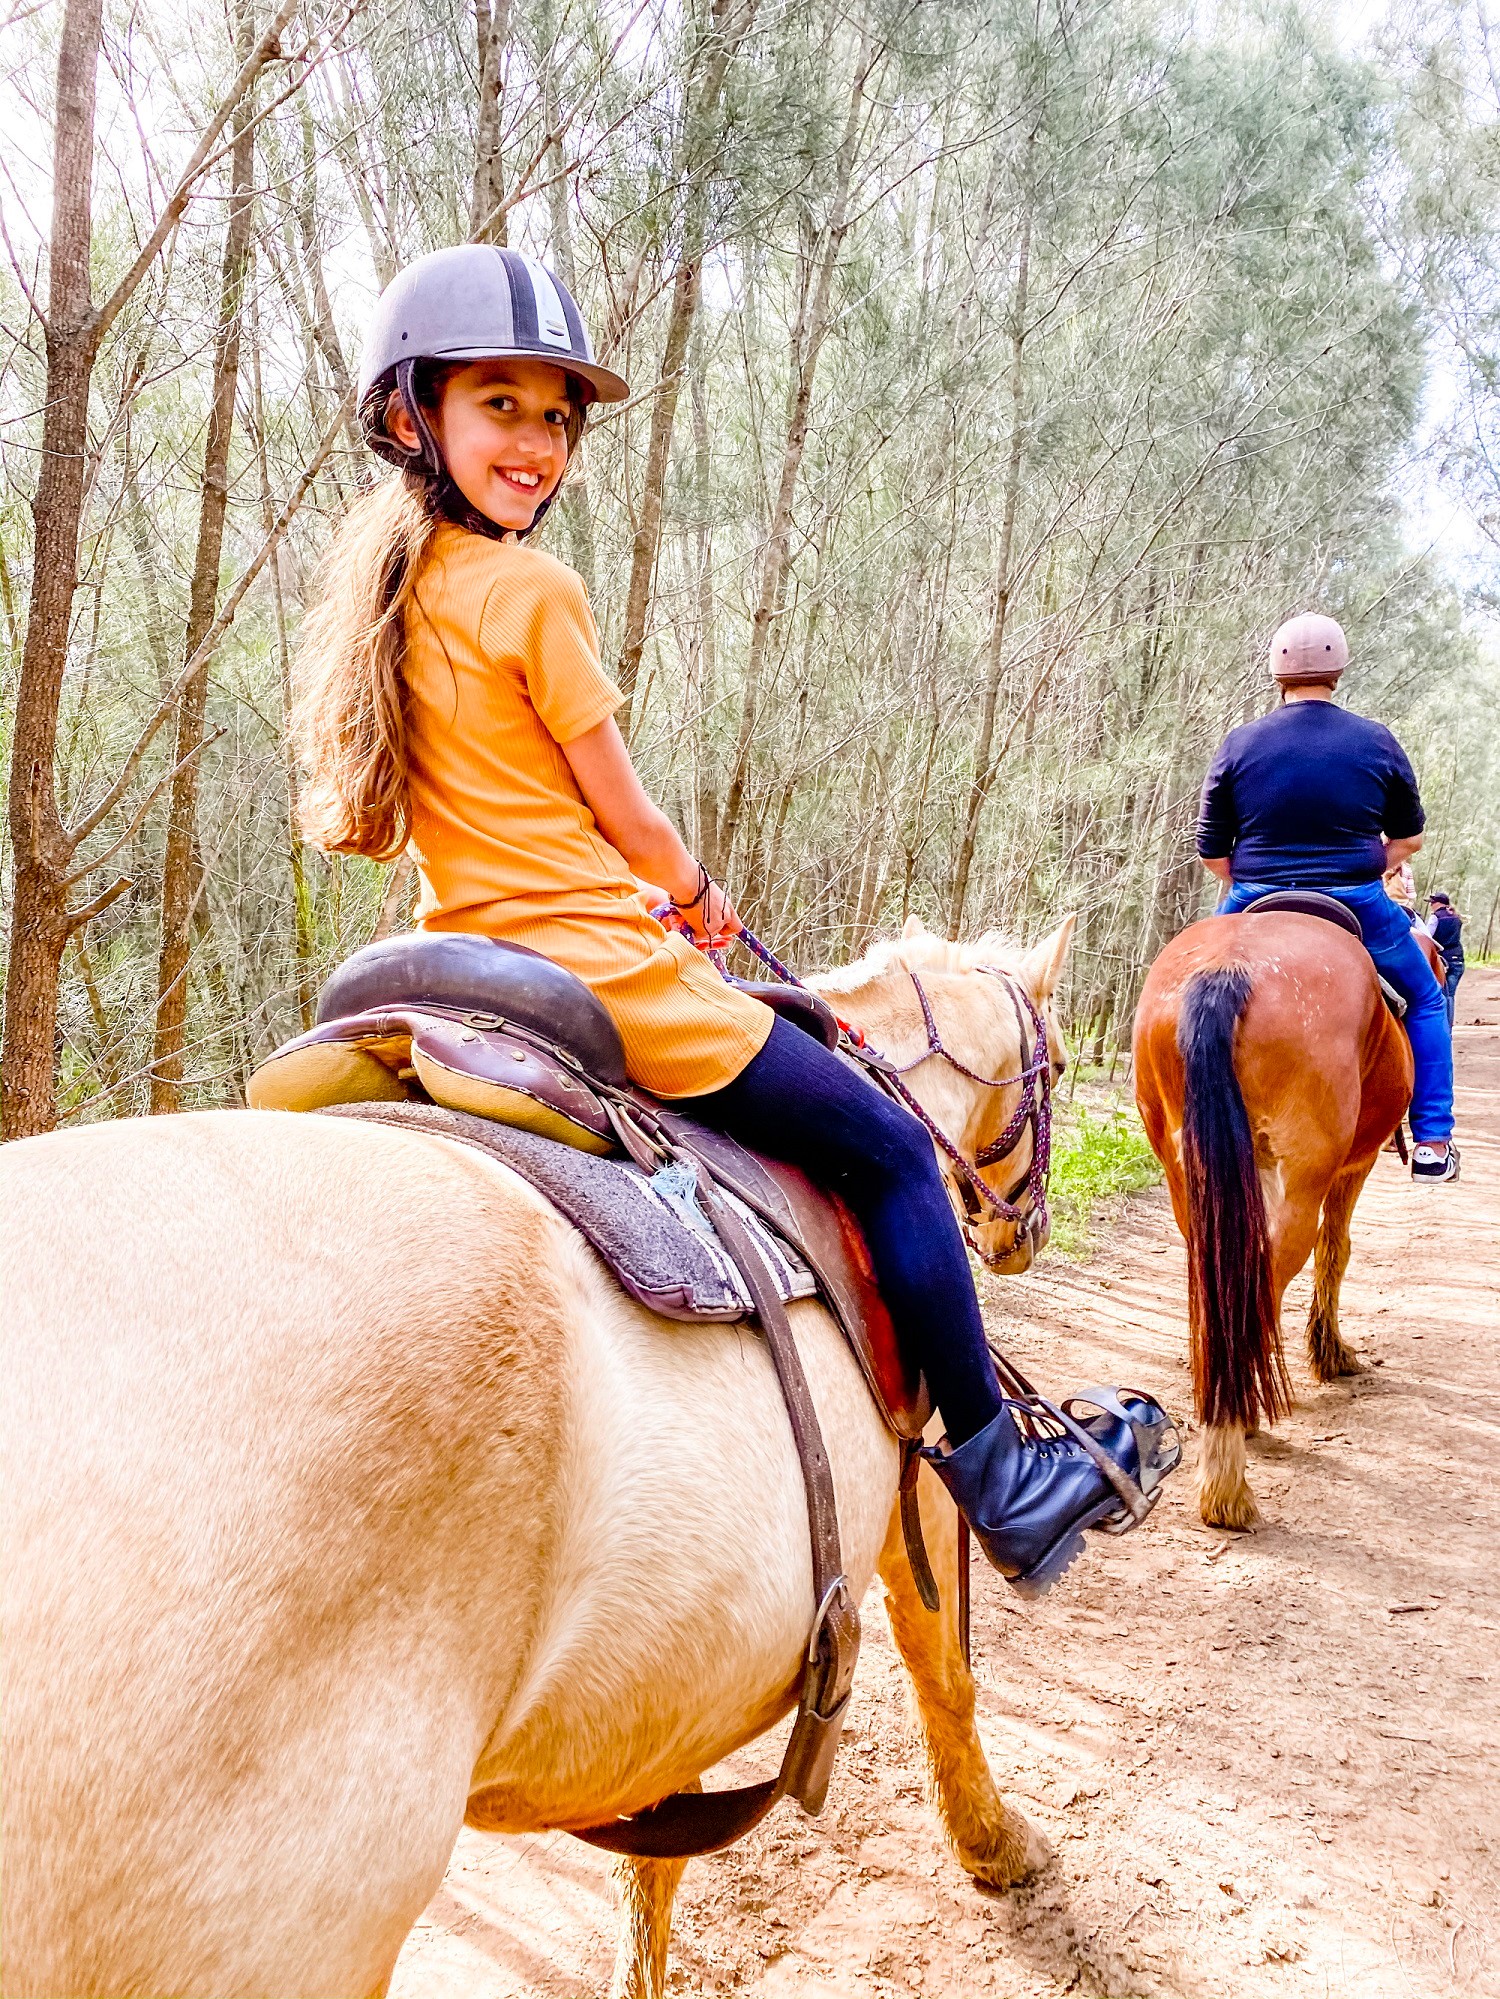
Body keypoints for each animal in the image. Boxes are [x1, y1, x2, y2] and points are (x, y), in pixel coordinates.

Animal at [5, 915, 1072, 1999]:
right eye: (1061, 1066)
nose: (1023, 1231)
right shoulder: (917, 1487)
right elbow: (947, 1672)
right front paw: (997, 1844)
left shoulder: (668, 1664)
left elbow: (652, 1858)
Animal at [1136, 915, 1424, 1519]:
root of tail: (1229, 969)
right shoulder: (1352, 1167)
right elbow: (1335, 1252)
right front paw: (1331, 1352)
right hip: (1302, 1174)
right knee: (1264, 1276)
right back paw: (1230, 1458)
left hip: (1185, 1168)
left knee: (1216, 1278)